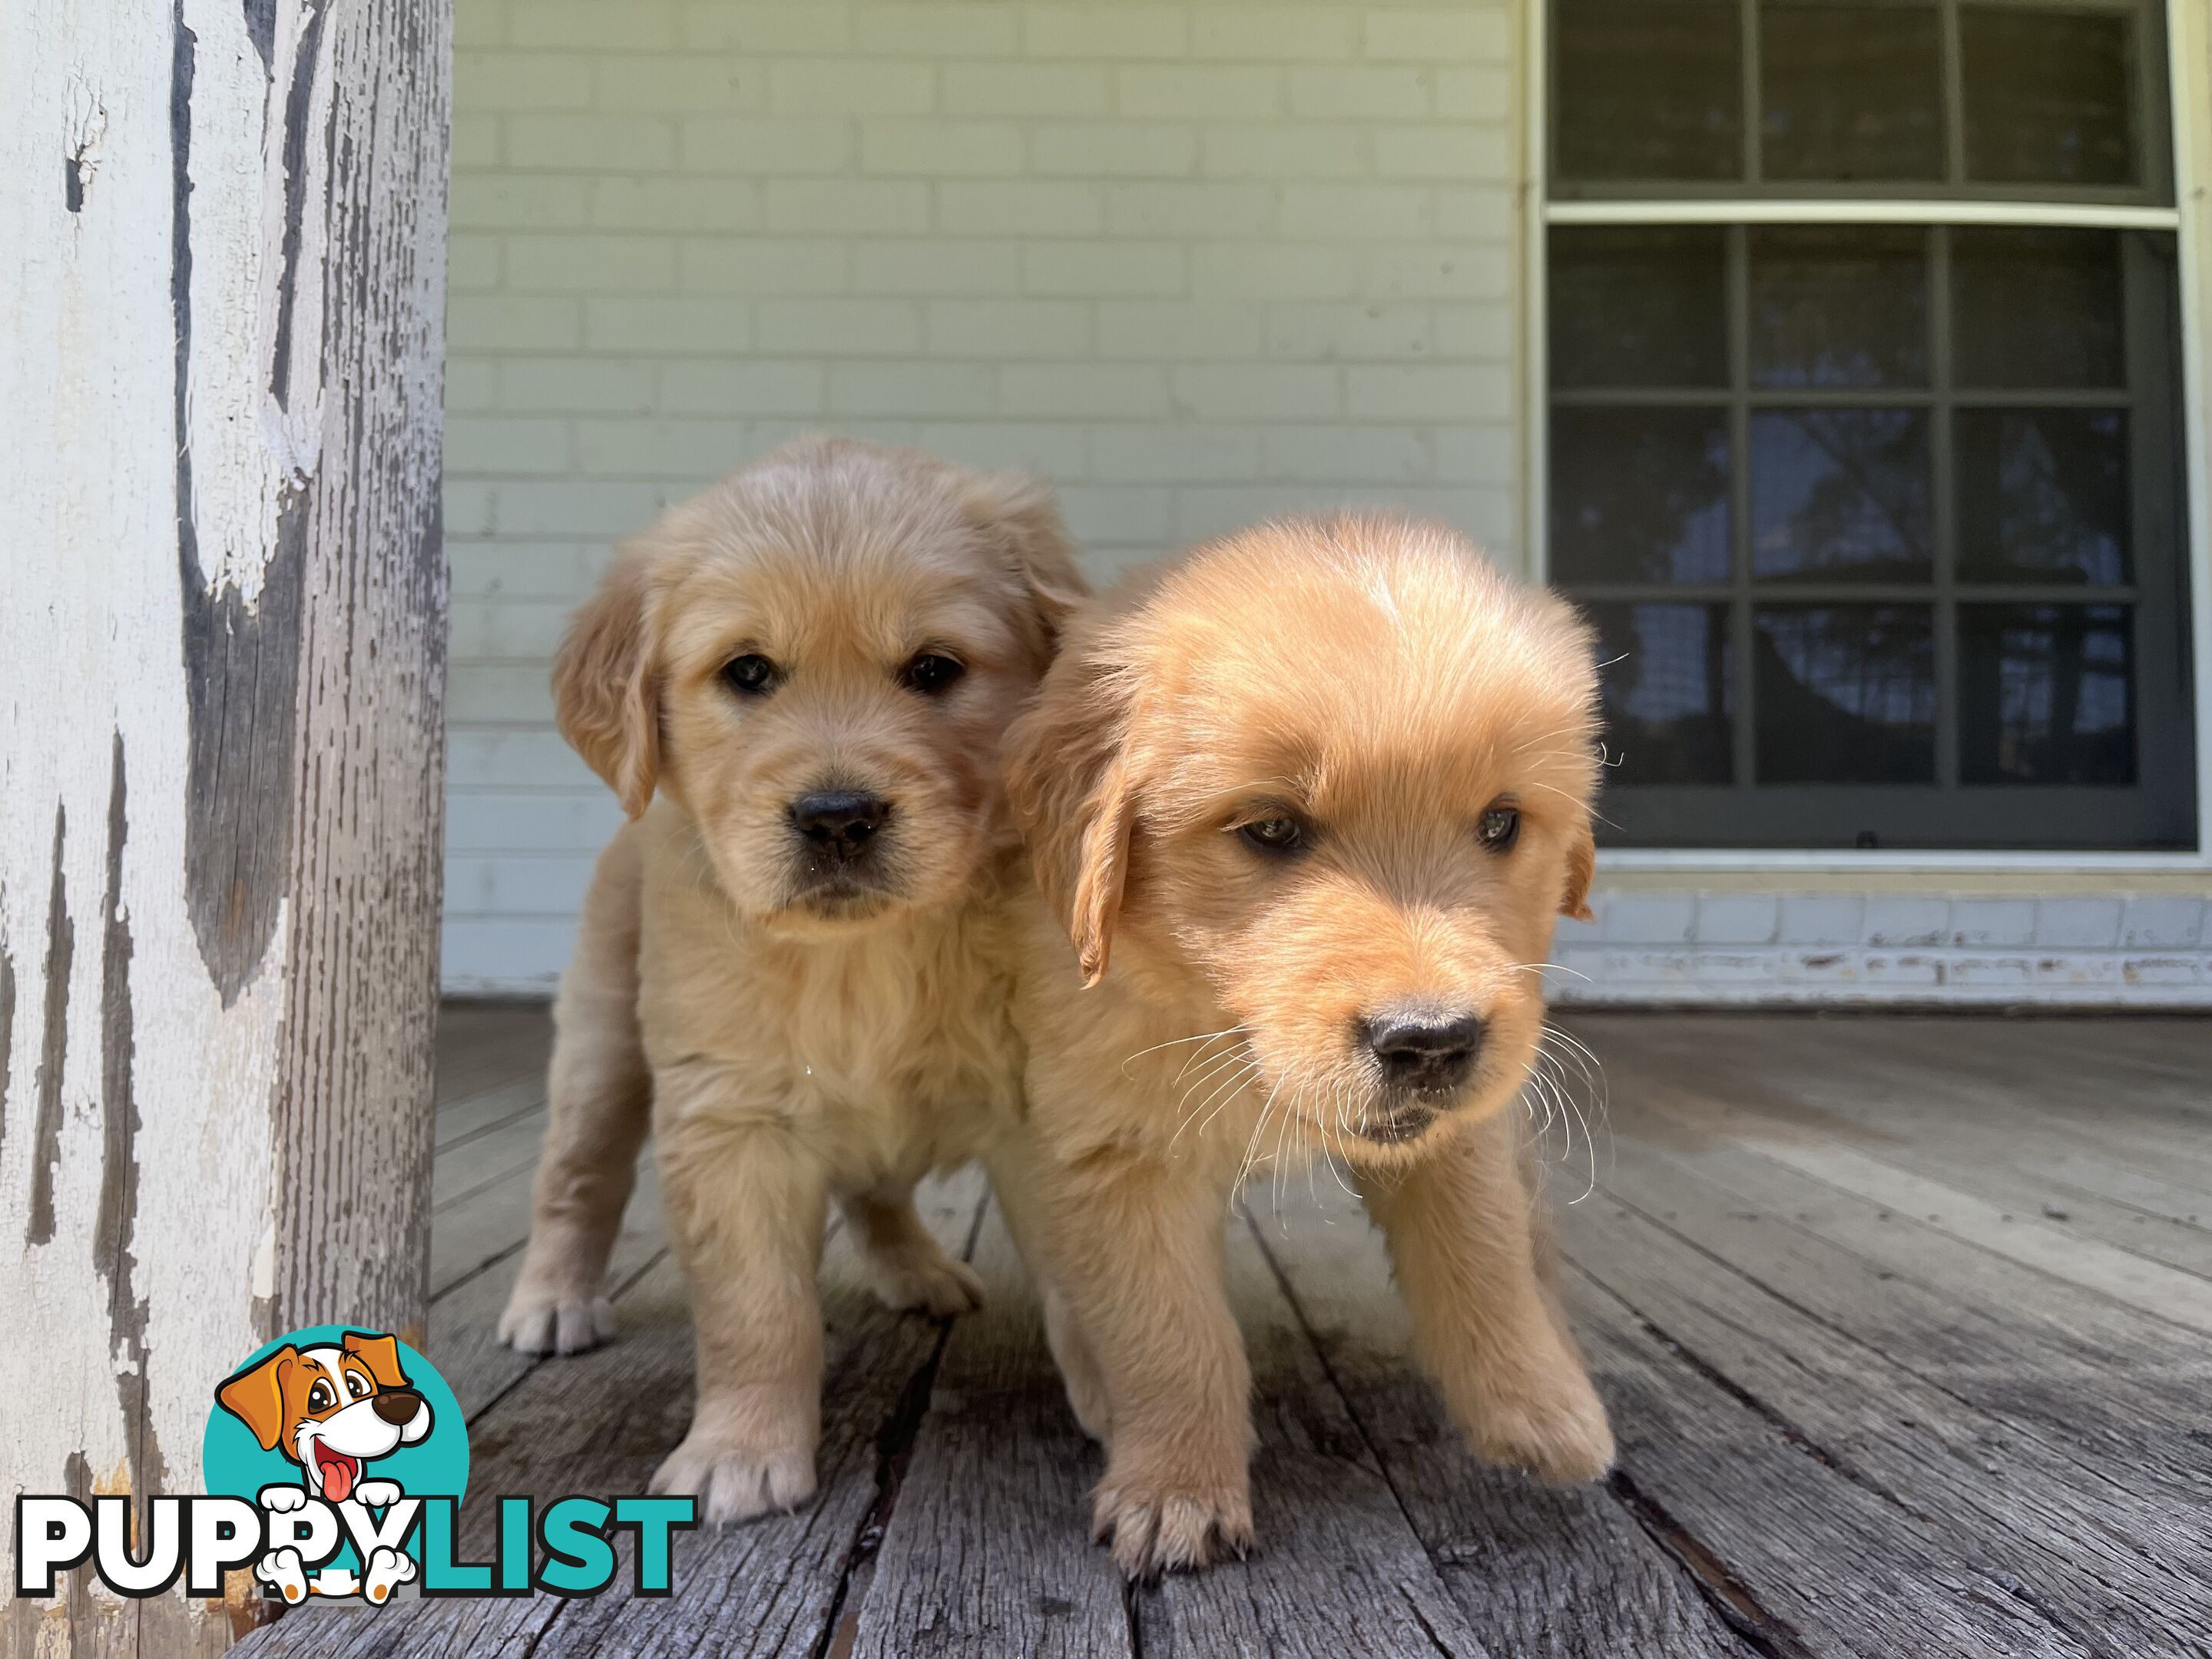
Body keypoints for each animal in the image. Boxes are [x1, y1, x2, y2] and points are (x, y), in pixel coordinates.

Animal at [504, 435, 1088, 1530]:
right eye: (748, 672)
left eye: (935, 670)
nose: (837, 817)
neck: (863, 958)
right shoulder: (727, 1121)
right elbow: (757, 1310)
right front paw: (740, 1450)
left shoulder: (1041, 1104)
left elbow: (1096, 1287)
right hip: (604, 1043)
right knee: (577, 1174)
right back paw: (552, 1298)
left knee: (876, 1189)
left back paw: (920, 1270)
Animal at [995, 519, 1619, 1584]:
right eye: (1272, 830)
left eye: (1502, 823)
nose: (1431, 1043)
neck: (1226, 1037)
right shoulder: (1114, 1153)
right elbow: (1167, 1332)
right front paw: (1176, 1489)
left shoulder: (1460, 1135)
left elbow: (1484, 1256)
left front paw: (1541, 1410)